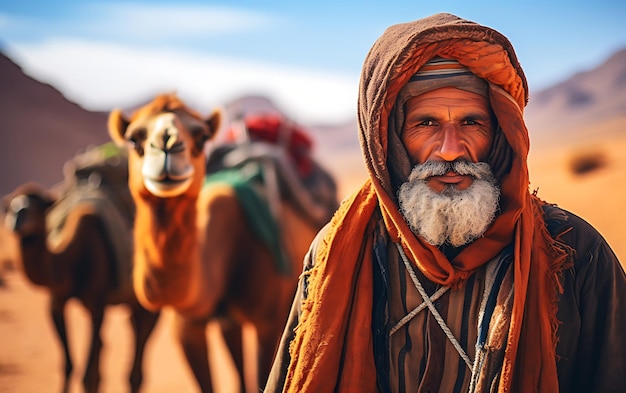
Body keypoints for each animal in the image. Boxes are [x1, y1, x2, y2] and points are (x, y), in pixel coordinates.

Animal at [3, 178, 158, 392]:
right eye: (11, 205)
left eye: (39, 204)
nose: (18, 215)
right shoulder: (56, 303)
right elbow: (69, 366)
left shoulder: (97, 304)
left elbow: (88, 376)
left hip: (149, 304)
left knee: (136, 367)